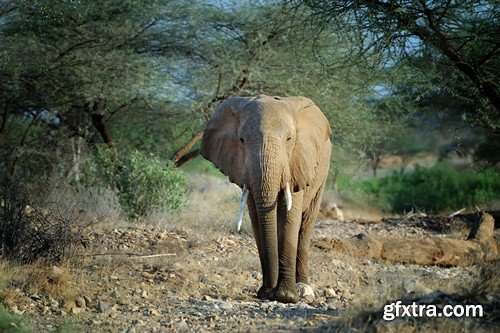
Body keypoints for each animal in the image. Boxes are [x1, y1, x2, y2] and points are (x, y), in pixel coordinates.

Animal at [199, 94, 332, 302]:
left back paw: (304, 289)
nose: (268, 292)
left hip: (322, 173)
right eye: (241, 139)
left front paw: (286, 296)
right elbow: (256, 218)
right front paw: (266, 293)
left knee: (306, 226)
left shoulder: (296, 162)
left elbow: (290, 217)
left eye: (289, 139)